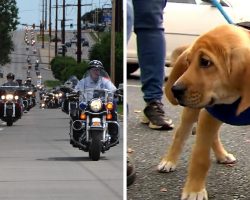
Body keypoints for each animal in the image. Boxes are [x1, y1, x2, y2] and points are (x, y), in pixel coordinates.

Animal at [158, 24, 250, 199]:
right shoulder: (210, 113)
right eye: (188, 62)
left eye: (205, 62)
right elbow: (200, 157)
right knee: (180, 135)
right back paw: (168, 161)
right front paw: (194, 190)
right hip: (194, 112)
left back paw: (222, 155)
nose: (175, 90)